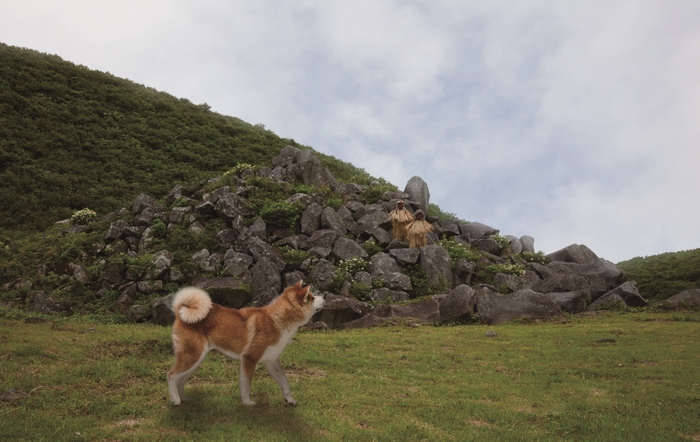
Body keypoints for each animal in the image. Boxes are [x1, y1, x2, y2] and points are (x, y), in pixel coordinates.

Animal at [167, 282, 326, 406]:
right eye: (312, 297)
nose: (324, 296)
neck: (278, 319)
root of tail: (180, 310)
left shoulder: (271, 361)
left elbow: (284, 382)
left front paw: (290, 399)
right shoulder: (249, 359)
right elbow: (246, 386)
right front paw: (247, 403)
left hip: (195, 360)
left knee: (180, 380)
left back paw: (184, 398)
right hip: (193, 356)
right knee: (171, 375)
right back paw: (175, 399)